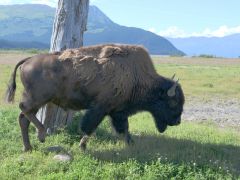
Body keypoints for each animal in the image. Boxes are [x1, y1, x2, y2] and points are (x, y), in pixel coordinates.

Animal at [5, 44, 186, 151]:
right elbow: (89, 128)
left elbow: (124, 128)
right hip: (37, 98)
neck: (136, 76)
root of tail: (29, 59)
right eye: (173, 102)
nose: (178, 122)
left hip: (38, 101)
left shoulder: (118, 111)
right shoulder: (100, 108)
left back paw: (28, 147)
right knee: (24, 110)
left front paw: (131, 144)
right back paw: (41, 135)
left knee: (24, 118)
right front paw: (82, 147)